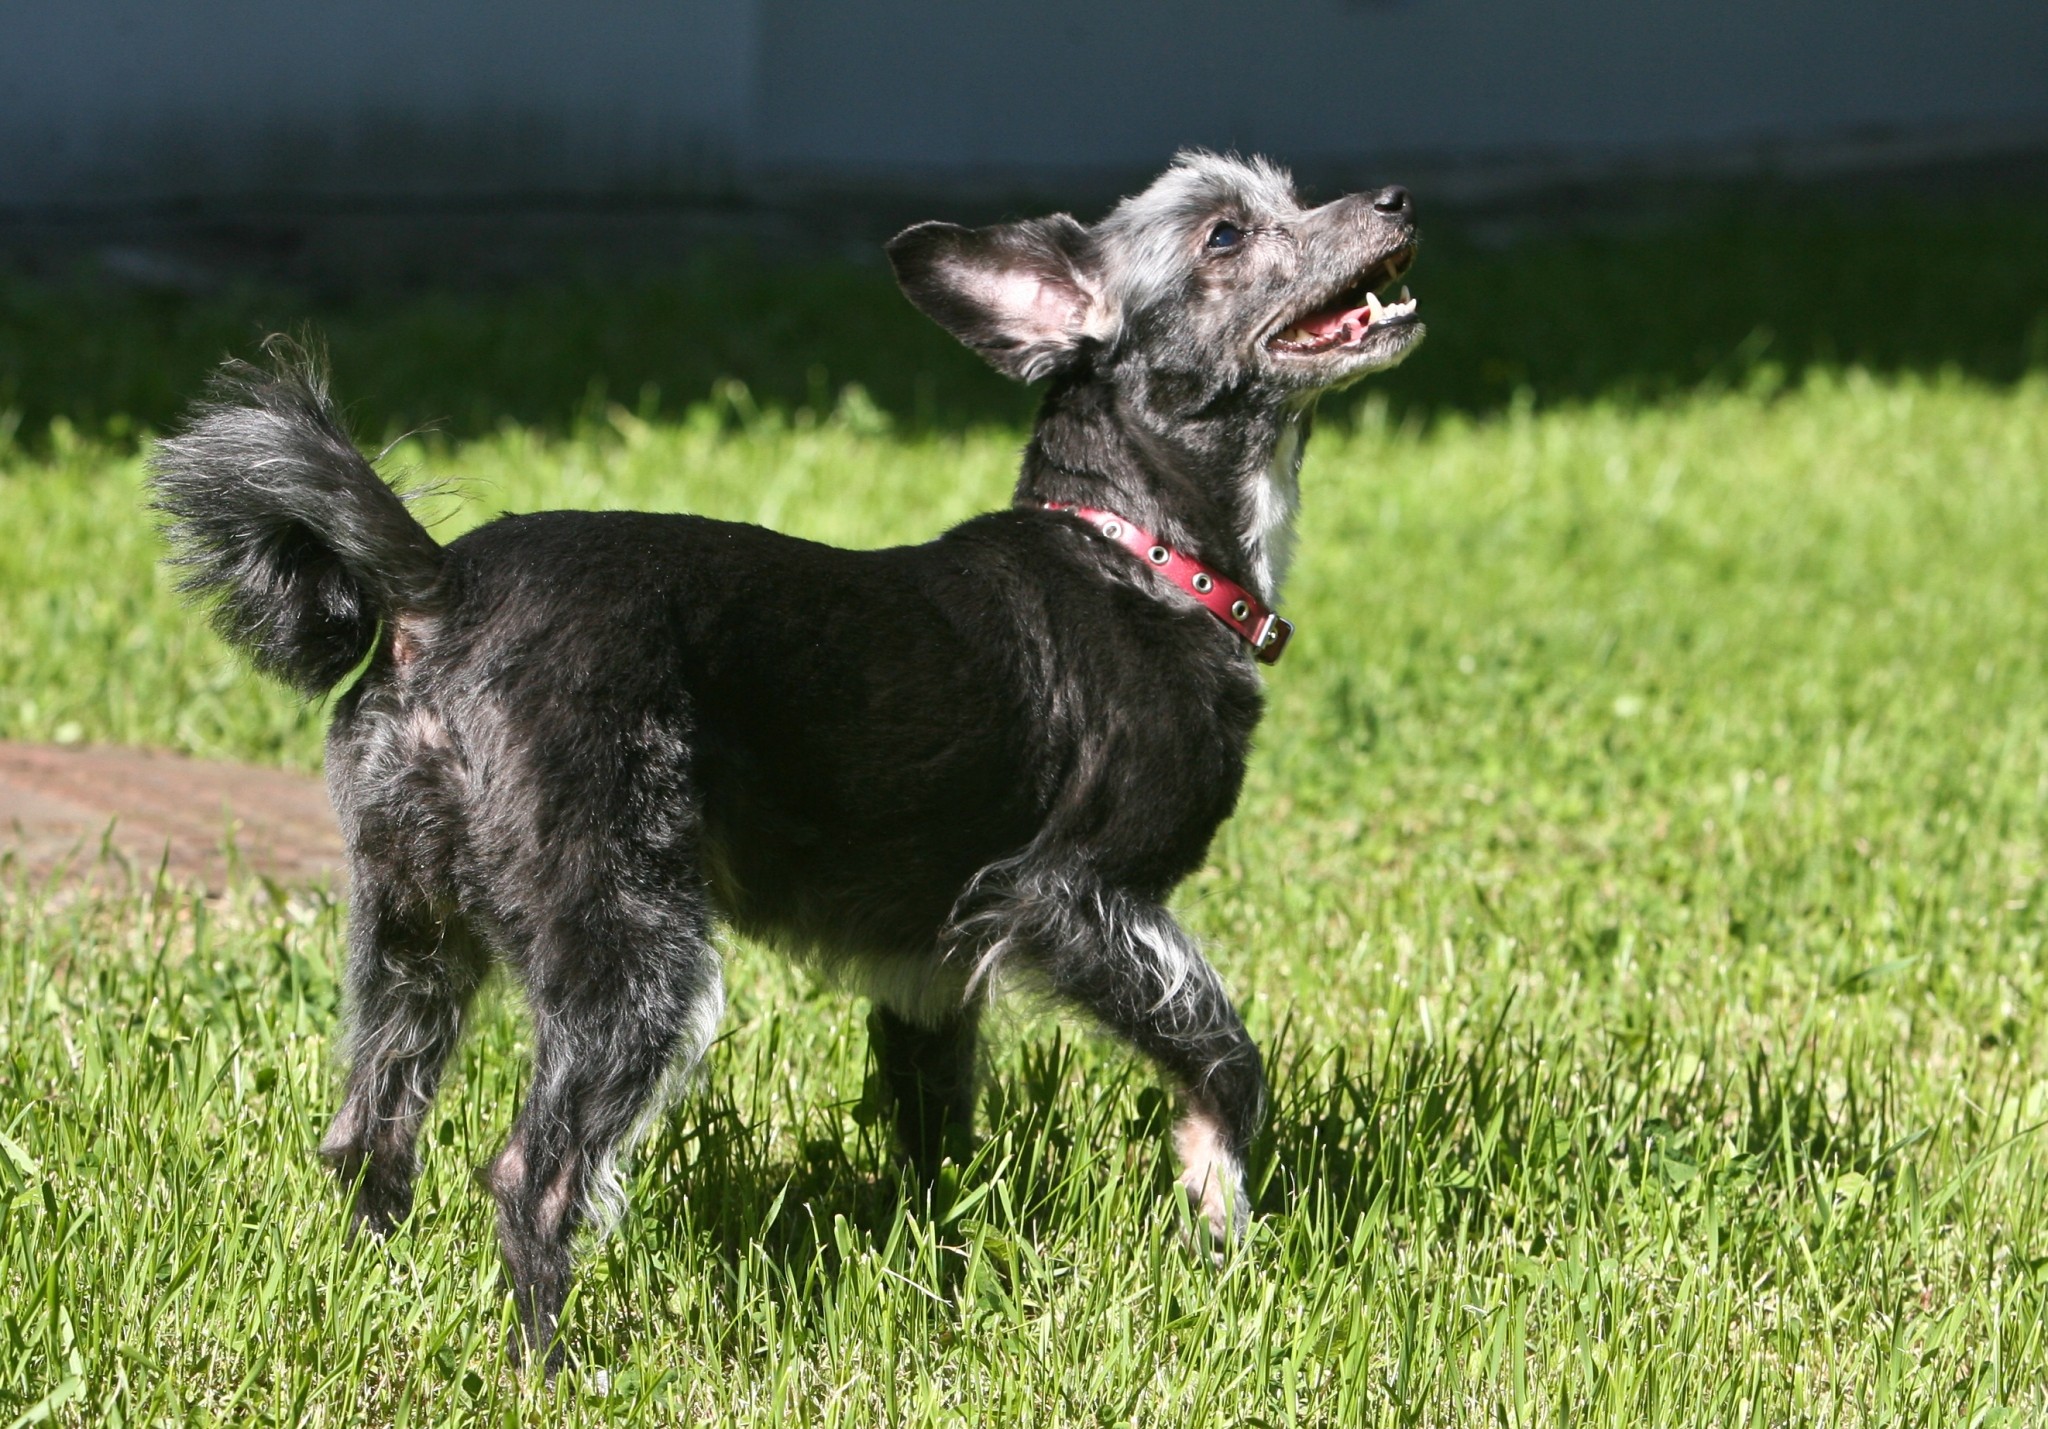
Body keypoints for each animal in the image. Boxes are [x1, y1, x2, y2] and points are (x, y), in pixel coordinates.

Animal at [148, 150, 1425, 1367]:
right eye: (1227, 234)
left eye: (1288, 196)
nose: (1396, 199)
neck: (1138, 553)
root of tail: (436, 586)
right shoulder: (1072, 898)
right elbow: (1223, 1058)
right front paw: (1219, 1219)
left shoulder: (928, 969)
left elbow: (933, 1136)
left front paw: (948, 1264)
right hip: (633, 946)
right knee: (533, 1176)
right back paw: (549, 1368)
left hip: (410, 930)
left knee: (370, 1134)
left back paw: (373, 1290)